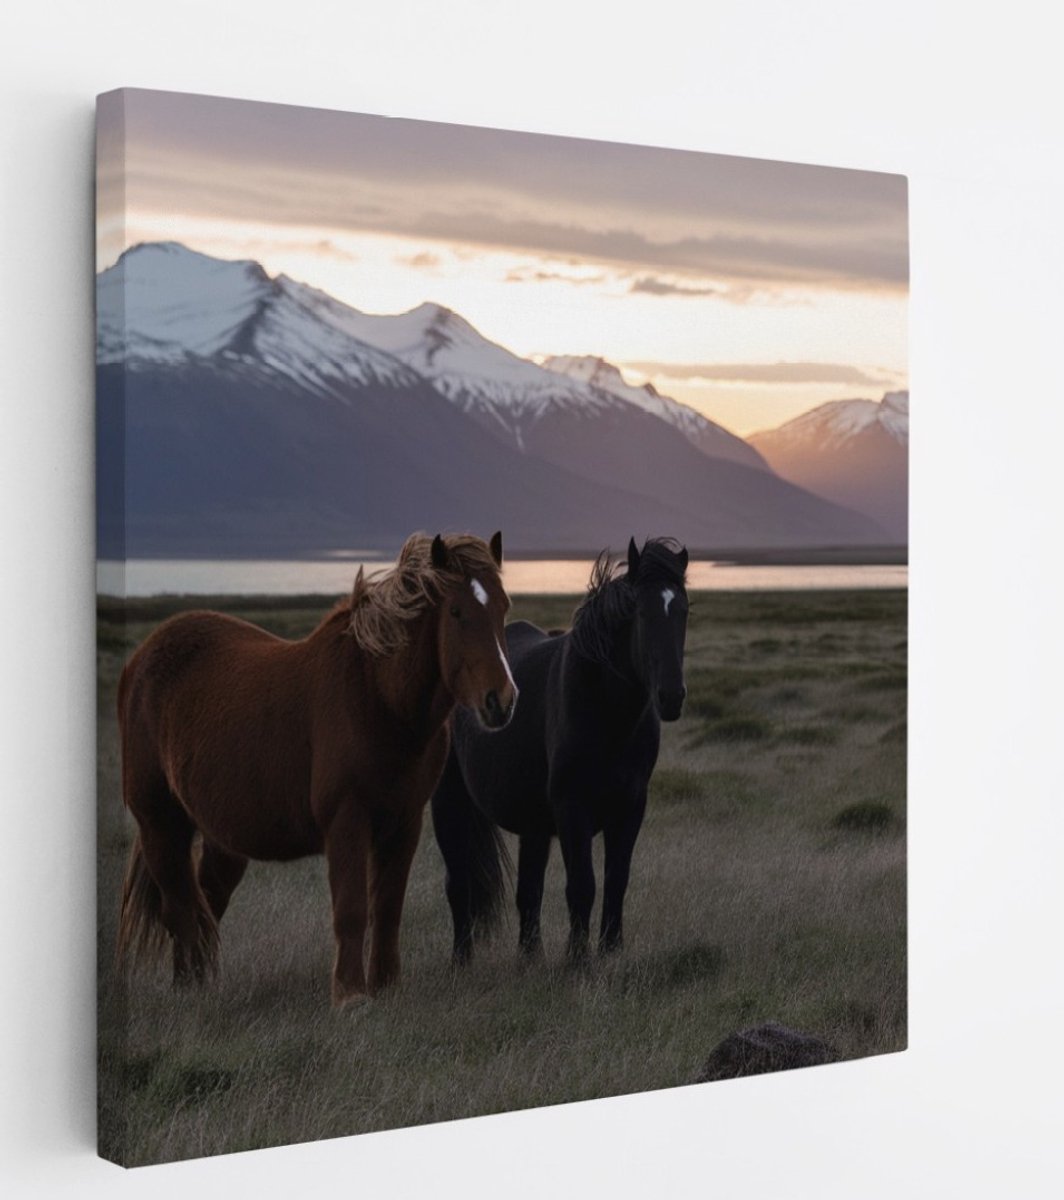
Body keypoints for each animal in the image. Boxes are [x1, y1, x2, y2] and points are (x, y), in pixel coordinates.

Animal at [116, 531, 518, 1007]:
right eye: (456, 612)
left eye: (503, 606)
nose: (501, 701)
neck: (377, 701)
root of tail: (143, 658)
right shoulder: (346, 821)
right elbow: (351, 910)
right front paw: (351, 995)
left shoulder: (404, 823)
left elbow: (387, 907)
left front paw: (386, 985)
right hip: (160, 824)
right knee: (178, 908)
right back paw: (188, 995)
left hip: (221, 839)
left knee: (205, 902)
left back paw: (201, 987)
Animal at [431, 536, 689, 965]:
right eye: (640, 610)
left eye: (684, 610)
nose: (670, 697)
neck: (607, 714)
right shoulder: (573, 809)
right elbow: (582, 885)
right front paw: (577, 960)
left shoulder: (631, 807)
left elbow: (616, 880)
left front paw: (611, 951)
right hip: (449, 803)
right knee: (459, 885)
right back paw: (461, 963)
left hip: (533, 825)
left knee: (527, 892)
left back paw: (529, 959)